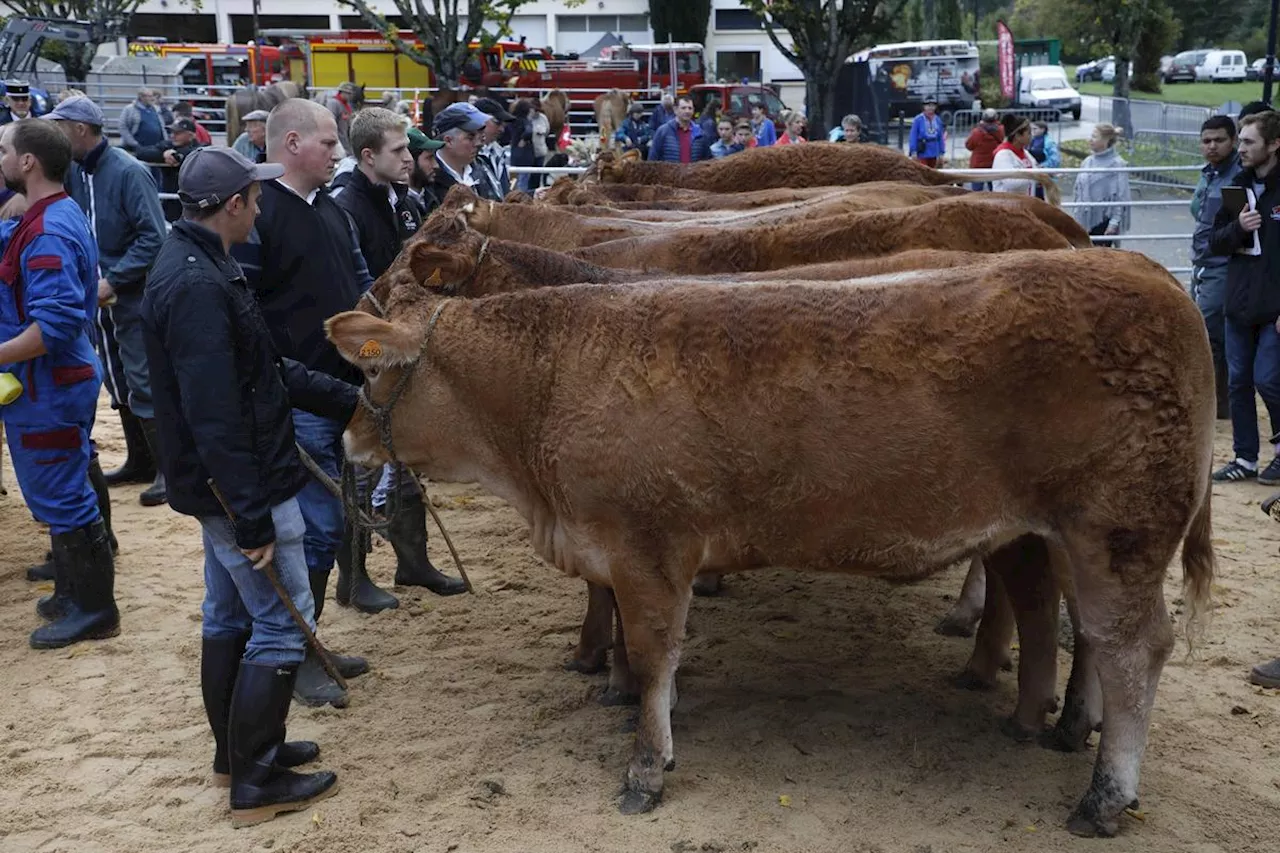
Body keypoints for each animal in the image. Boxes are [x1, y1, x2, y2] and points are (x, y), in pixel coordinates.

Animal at [327, 249, 1208, 835]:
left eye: (369, 375)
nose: (344, 440)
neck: (550, 384)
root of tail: (1145, 270)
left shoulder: (648, 549)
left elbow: (653, 653)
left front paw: (646, 766)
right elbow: (656, 658)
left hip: (1118, 530)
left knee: (1132, 647)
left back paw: (1103, 794)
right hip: (1060, 535)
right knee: (1079, 631)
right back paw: (1064, 727)